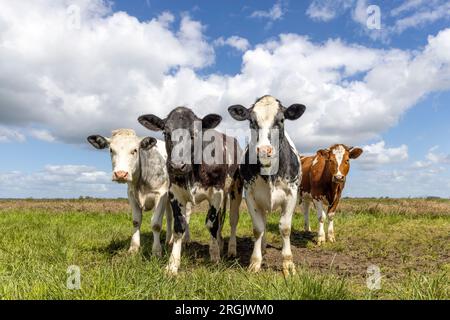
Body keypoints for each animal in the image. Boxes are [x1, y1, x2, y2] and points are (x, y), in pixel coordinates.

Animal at [138, 107, 243, 276]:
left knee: (232, 219)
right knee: (220, 219)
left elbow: (211, 224)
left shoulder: (217, 192)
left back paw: (231, 249)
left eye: (194, 134)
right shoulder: (175, 193)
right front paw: (172, 265)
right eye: (166, 133)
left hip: (235, 189)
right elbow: (179, 226)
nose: (177, 165)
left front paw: (215, 258)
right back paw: (220, 243)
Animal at [229, 94, 306, 276]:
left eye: (282, 119)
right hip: (242, 193)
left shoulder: (292, 194)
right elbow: (258, 228)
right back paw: (238, 249)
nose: (264, 150)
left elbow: (285, 228)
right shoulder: (250, 195)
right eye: (251, 121)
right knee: (240, 221)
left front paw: (288, 264)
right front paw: (255, 262)